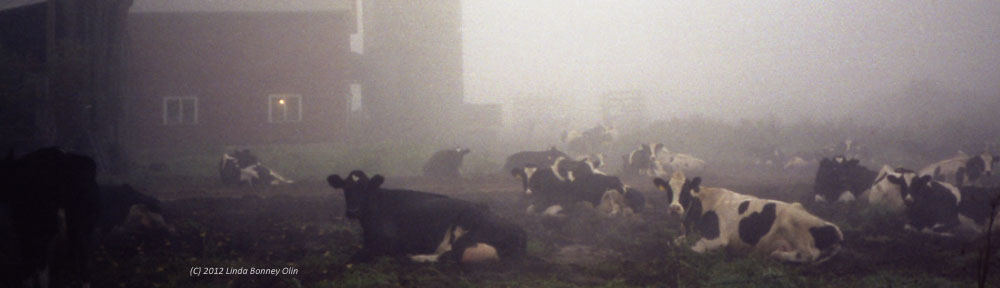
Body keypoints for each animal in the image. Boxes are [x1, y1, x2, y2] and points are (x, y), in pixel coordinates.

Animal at [330, 171, 532, 264]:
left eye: (366, 189)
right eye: (345, 188)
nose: (353, 211)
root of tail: (521, 232)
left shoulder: (387, 242)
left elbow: (353, 257)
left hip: (468, 237)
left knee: (450, 258)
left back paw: (416, 257)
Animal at [648, 174, 844, 264]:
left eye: (686, 190)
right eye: (668, 190)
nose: (674, 208)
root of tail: (836, 231)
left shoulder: (718, 239)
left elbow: (691, 249)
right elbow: (673, 242)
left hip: (793, 224)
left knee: (807, 255)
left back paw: (776, 254)